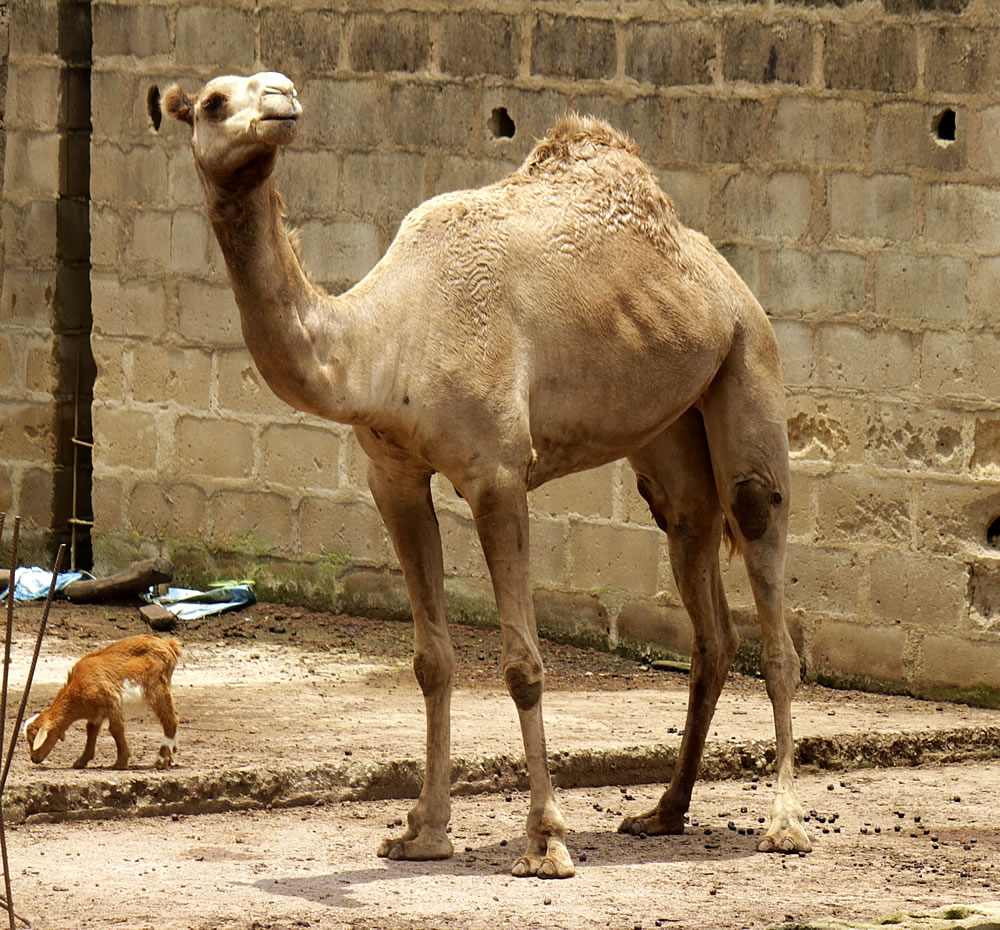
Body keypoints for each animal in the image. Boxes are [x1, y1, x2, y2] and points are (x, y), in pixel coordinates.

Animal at [162, 71, 811, 879]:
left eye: (269, 86)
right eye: (214, 102)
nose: (281, 101)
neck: (382, 341)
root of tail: (720, 270)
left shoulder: (498, 474)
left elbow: (522, 665)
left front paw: (546, 841)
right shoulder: (393, 477)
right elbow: (431, 661)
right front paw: (423, 832)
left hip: (749, 355)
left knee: (764, 555)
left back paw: (784, 823)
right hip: (670, 422)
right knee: (702, 587)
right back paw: (664, 811)